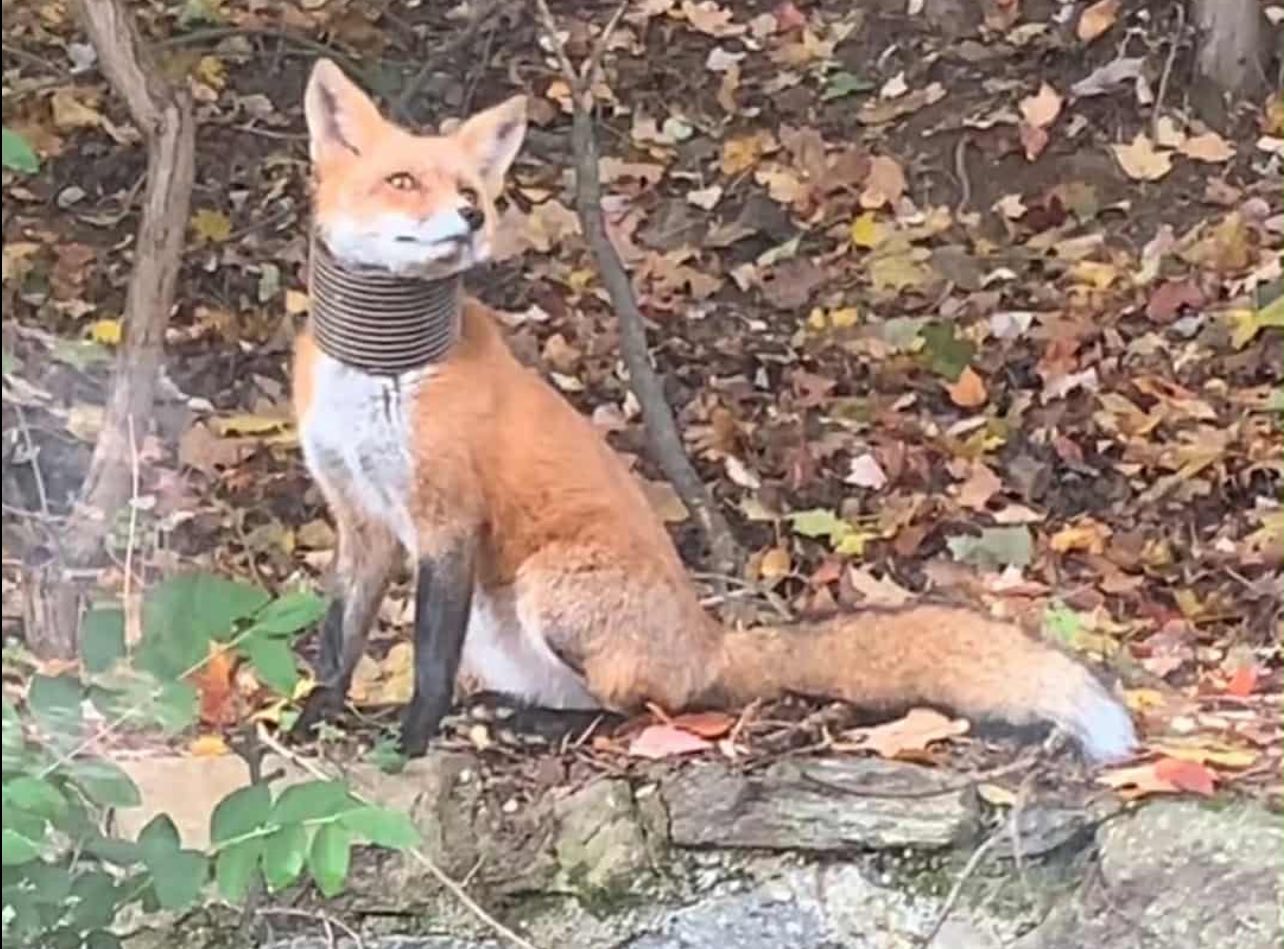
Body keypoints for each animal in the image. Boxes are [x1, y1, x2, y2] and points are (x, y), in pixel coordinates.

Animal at [287, 58, 1137, 764]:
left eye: (472, 190)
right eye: (403, 180)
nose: (469, 217)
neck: (380, 366)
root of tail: (711, 638)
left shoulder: (447, 517)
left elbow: (427, 661)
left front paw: (411, 739)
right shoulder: (359, 516)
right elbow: (338, 636)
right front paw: (315, 715)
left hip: (549, 587)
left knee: (637, 706)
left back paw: (539, 726)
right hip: (501, 631)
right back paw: (504, 712)